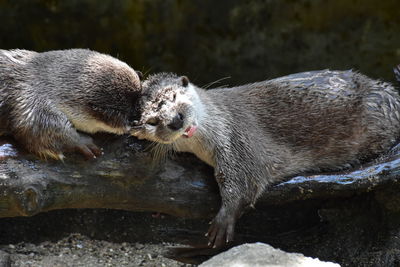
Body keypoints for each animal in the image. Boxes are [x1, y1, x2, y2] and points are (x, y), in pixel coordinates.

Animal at [131, 70, 400, 248]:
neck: (217, 120)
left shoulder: (238, 138)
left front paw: (223, 220)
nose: (175, 120)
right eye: (152, 121)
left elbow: (246, 180)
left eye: (174, 97)